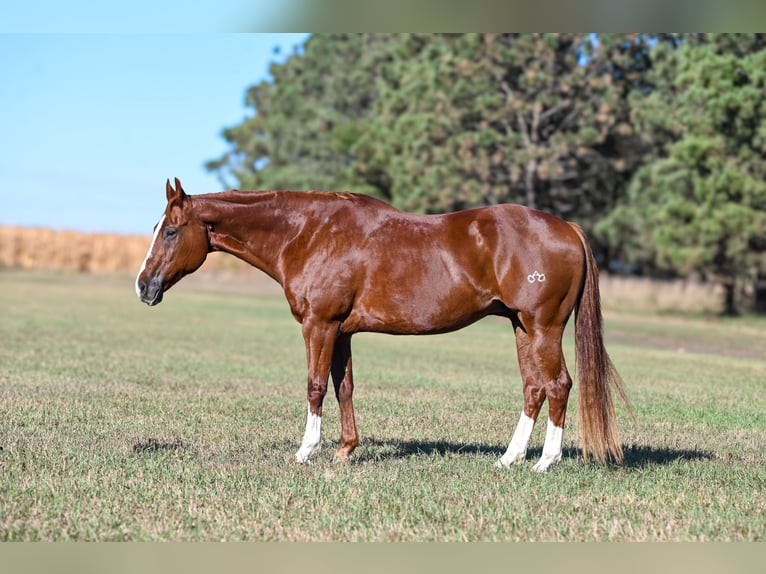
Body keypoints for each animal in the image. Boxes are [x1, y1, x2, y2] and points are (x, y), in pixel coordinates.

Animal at [136, 178, 630, 472]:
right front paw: (344, 450)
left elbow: (315, 386)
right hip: (522, 328)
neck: (308, 233)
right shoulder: (341, 330)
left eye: (170, 231)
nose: (143, 286)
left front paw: (306, 451)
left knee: (558, 385)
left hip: (542, 327)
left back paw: (545, 462)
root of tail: (566, 227)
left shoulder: (319, 325)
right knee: (534, 388)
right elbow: (344, 387)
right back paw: (509, 459)